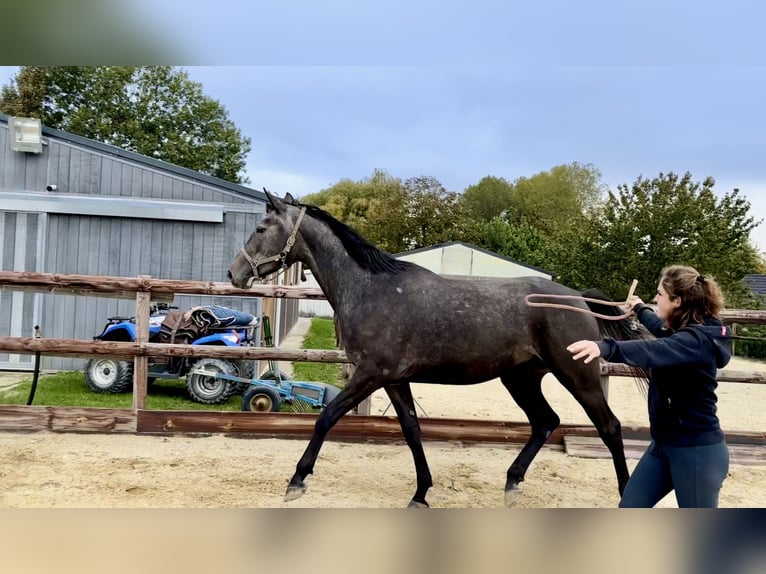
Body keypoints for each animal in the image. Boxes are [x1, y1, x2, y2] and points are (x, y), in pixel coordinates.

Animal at [228, 190, 648, 508]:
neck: (370, 290)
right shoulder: (393, 380)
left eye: (262, 227)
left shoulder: (370, 374)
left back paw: (624, 494)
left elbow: (327, 417)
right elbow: (412, 429)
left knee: (608, 426)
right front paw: (421, 493)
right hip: (521, 378)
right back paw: (512, 484)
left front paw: (297, 481)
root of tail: (577, 298)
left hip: (577, 374)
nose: (236, 273)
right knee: (546, 421)